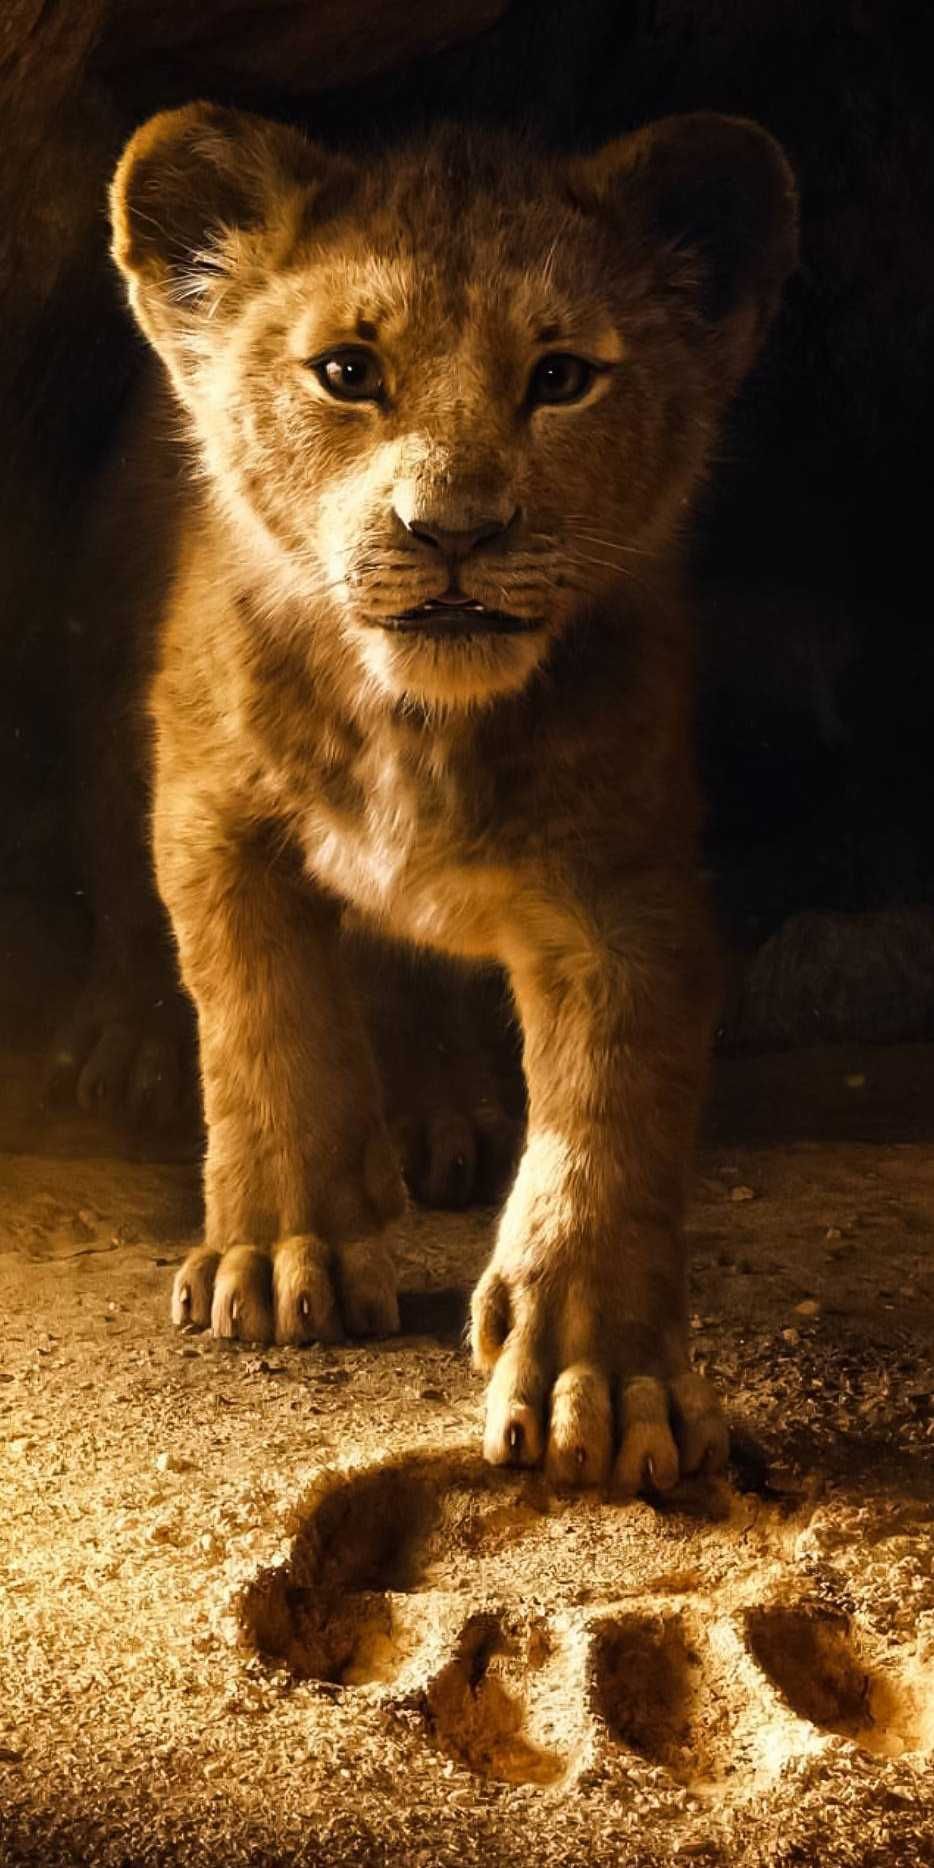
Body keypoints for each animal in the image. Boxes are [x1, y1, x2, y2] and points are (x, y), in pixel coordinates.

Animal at [96, 102, 796, 1490]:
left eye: (562, 377)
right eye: (347, 371)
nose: (453, 530)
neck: (417, 721)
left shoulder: (625, 883)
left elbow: (609, 1117)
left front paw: (601, 1375)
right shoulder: (209, 810)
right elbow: (266, 1026)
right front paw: (283, 1254)